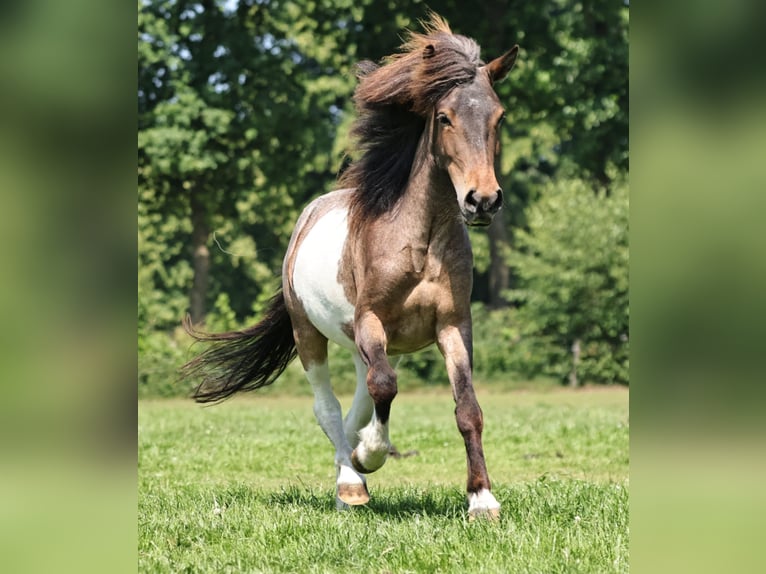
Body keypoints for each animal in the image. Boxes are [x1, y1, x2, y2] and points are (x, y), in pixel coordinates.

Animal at [182, 14, 519, 519]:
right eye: (444, 117)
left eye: (498, 117)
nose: (482, 201)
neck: (419, 244)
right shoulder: (370, 320)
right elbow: (384, 387)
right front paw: (369, 457)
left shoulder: (454, 325)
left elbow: (467, 409)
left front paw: (481, 499)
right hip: (311, 333)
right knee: (331, 406)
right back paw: (350, 482)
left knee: (358, 402)